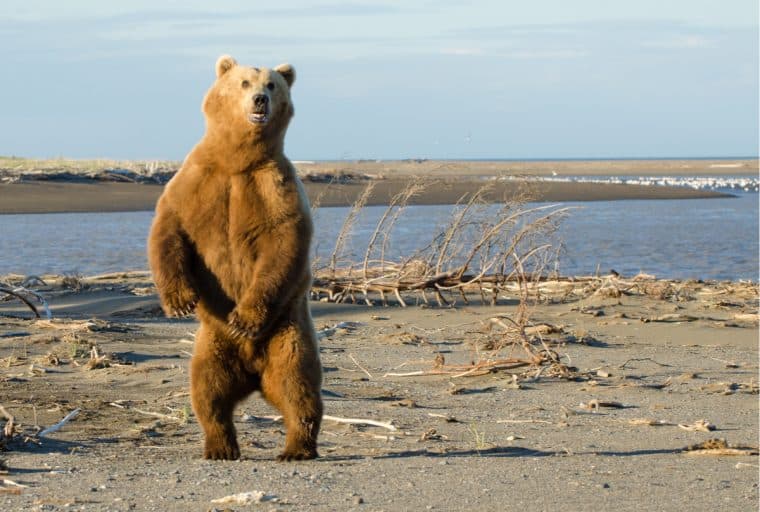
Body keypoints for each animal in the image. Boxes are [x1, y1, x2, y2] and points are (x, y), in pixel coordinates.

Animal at [147, 55, 322, 461]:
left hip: (288, 333)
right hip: (212, 344)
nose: (260, 99)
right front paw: (179, 301)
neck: (238, 160)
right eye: (244, 82)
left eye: (272, 84)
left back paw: (297, 447)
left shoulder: (275, 188)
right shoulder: (196, 180)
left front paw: (244, 318)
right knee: (208, 392)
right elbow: (169, 230)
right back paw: (220, 445)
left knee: (298, 388)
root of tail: (254, 372)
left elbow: (282, 247)